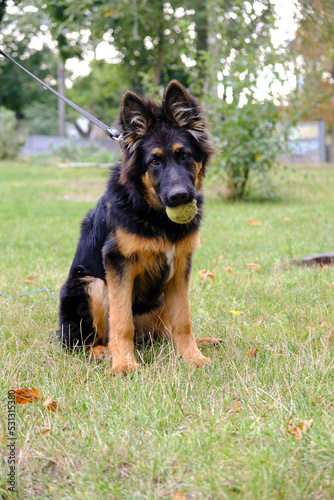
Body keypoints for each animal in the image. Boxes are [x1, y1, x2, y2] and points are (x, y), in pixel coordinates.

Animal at [57, 79, 219, 376]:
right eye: (154, 161)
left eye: (184, 155)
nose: (179, 197)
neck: (155, 216)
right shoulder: (118, 264)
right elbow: (122, 323)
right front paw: (124, 363)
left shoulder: (181, 266)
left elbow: (183, 321)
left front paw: (193, 357)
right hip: (91, 285)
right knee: (84, 343)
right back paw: (103, 351)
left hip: (160, 299)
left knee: (166, 332)